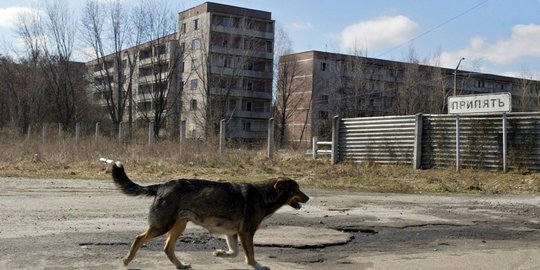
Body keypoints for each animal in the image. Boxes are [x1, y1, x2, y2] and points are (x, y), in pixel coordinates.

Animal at [101, 158, 310, 270]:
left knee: (167, 248)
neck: (264, 194)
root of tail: (162, 186)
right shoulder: (246, 233)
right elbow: (249, 255)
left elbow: (234, 252)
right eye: (297, 189)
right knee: (139, 238)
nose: (308, 198)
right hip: (162, 225)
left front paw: (220, 253)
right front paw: (256, 266)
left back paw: (180, 265)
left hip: (179, 225)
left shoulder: (232, 233)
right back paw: (127, 260)